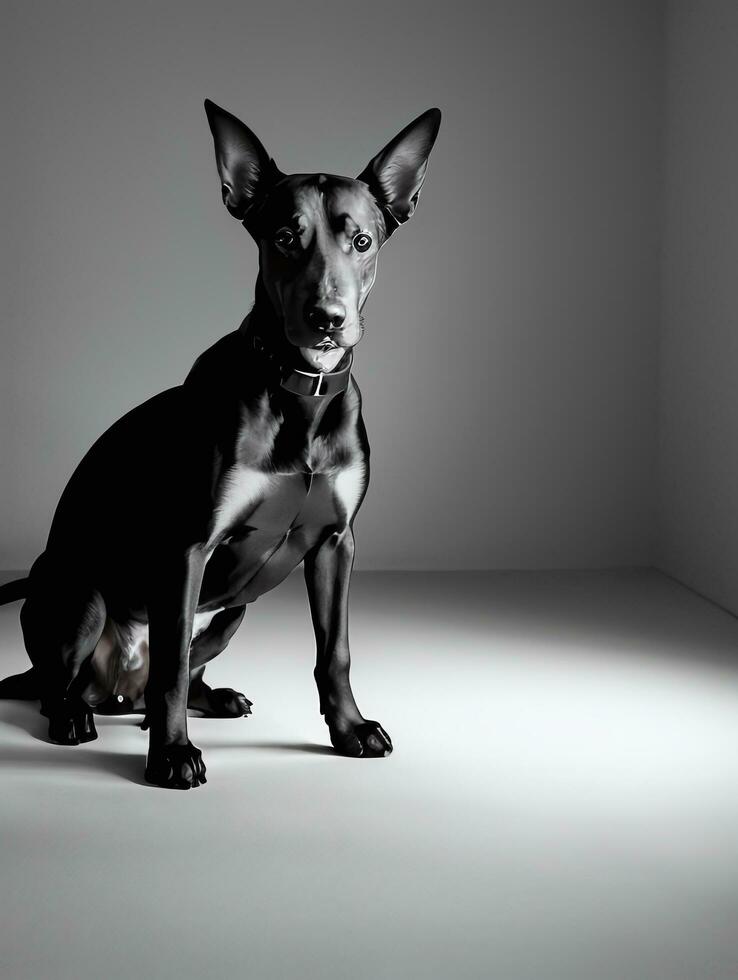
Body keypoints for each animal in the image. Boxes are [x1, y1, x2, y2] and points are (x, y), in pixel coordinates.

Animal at [0, 99, 440, 788]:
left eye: (362, 241)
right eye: (285, 238)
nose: (327, 319)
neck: (300, 390)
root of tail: (114, 690)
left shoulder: (336, 544)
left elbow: (334, 651)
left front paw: (349, 730)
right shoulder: (188, 546)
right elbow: (171, 669)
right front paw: (171, 755)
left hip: (232, 612)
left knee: (173, 672)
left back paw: (214, 697)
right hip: (80, 591)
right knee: (66, 683)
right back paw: (75, 715)